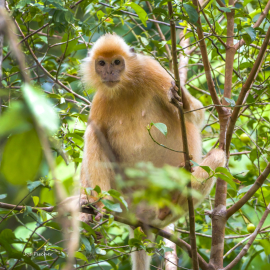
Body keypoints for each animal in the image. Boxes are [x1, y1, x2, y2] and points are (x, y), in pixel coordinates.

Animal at [78, 33, 226, 270]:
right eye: (101, 64)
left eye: (117, 62)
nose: (109, 72)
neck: (125, 87)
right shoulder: (101, 98)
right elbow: (95, 134)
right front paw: (88, 212)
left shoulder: (153, 71)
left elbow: (195, 114)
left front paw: (181, 98)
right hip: (123, 198)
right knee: (93, 134)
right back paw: (97, 207)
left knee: (219, 155)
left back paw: (170, 204)